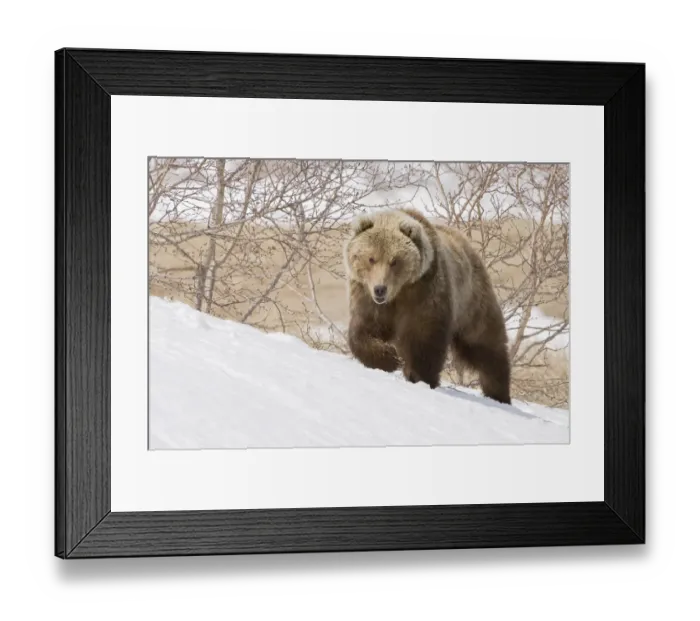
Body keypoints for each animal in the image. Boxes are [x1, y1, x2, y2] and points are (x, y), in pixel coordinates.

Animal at [343, 207, 512, 405]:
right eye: (371, 258)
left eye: (394, 261)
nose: (380, 289)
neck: (398, 293)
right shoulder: (368, 298)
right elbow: (362, 331)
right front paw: (388, 358)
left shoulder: (424, 293)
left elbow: (423, 339)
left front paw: (418, 375)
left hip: (472, 300)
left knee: (485, 344)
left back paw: (499, 393)